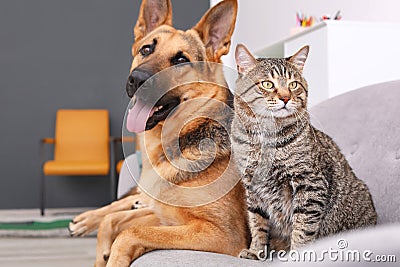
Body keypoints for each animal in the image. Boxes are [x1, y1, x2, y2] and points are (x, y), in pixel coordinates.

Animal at [69, 1, 250, 266]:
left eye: (181, 60)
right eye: (146, 49)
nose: (137, 80)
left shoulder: (223, 234)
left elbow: (129, 232)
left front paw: (112, 255)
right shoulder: (166, 217)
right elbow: (116, 222)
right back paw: (86, 219)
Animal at [231, 44, 378, 260]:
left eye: (293, 85)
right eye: (267, 84)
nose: (285, 97)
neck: (264, 140)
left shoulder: (309, 183)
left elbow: (302, 226)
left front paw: (297, 255)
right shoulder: (252, 188)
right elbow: (257, 223)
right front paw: (256, 251)